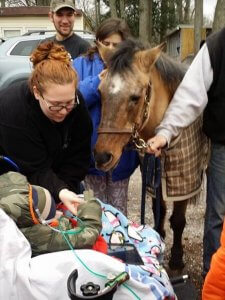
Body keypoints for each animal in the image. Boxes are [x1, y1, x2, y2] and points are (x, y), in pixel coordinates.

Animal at [93, 38, 209, 270]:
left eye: (135, 97)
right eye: (100, 93)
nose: (102, 157)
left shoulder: (182, 181)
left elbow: (178, 220)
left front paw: (176, 258)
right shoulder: (154, 175)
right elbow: (160, 212)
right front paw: (158, 239)